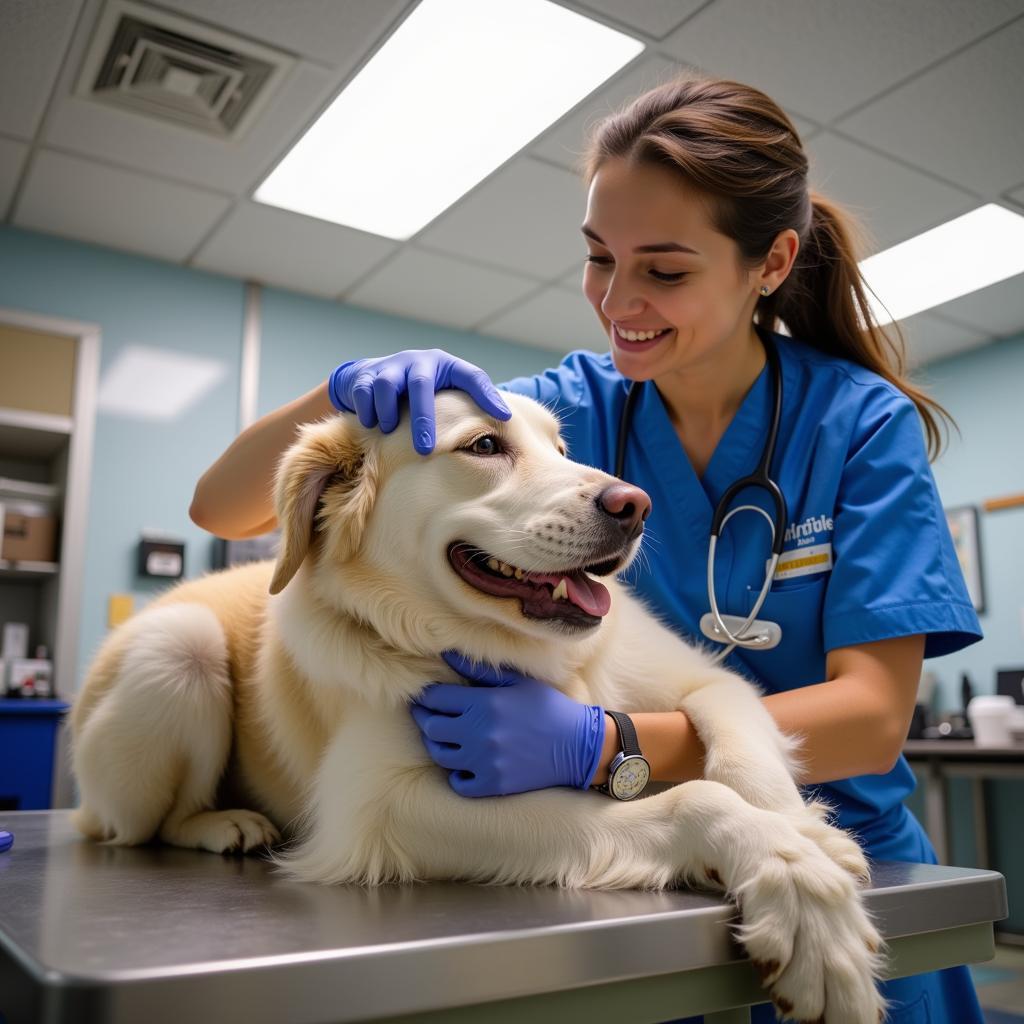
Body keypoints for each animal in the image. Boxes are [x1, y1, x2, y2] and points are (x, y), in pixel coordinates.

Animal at [72, 391, 888, 1024]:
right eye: (485, 445)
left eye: (560, 447)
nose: (635, 505)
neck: (519, 659)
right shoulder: (381, 813)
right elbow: (692, 800)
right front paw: (795, 881)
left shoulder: (709, 684)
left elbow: (741, 753)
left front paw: (806, 834)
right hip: (178, 650)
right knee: (141, 826)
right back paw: (224, 825)